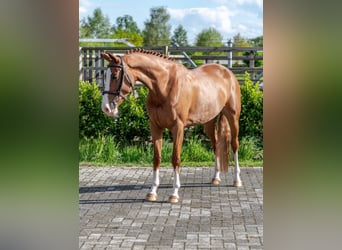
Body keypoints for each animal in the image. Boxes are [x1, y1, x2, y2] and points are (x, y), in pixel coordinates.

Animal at [100, 48, 242, 203]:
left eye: (114, 76)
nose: (106, 108)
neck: (164, 86)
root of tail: (227, 72)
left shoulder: (178, 128)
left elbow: (175, 159)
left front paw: (174, 194)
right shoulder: (155, 127)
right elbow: (157, 158)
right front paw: (152, 192)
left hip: (233, 118)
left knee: (234, 145)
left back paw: (237, 180)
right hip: (209, 122)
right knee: (216, 144)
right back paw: (216, 178)